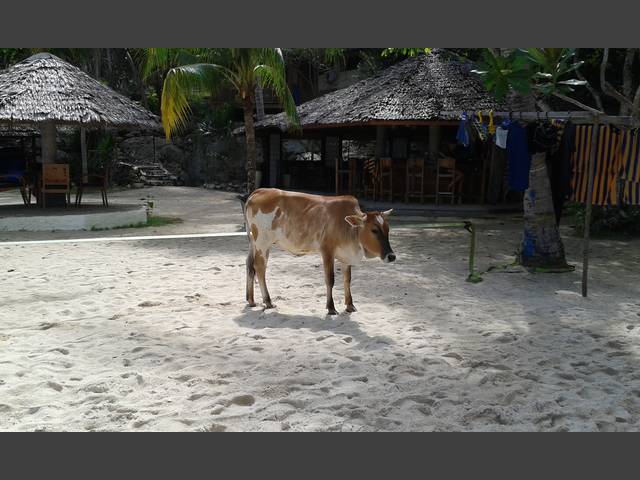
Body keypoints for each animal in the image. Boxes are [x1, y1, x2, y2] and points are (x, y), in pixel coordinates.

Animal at [244, 188, 396, 316]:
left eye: (388, 229)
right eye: (374, 230)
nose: (392, 256)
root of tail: (259, 191)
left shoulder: (345, 256)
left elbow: (347, 279)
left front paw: (350, 305)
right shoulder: (327, 250)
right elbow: (330, 279)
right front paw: (331, 307)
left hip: (255, 244)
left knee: (250, 265)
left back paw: (251, 300)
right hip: (262, 242)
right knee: (260, 268)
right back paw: (268, 301)